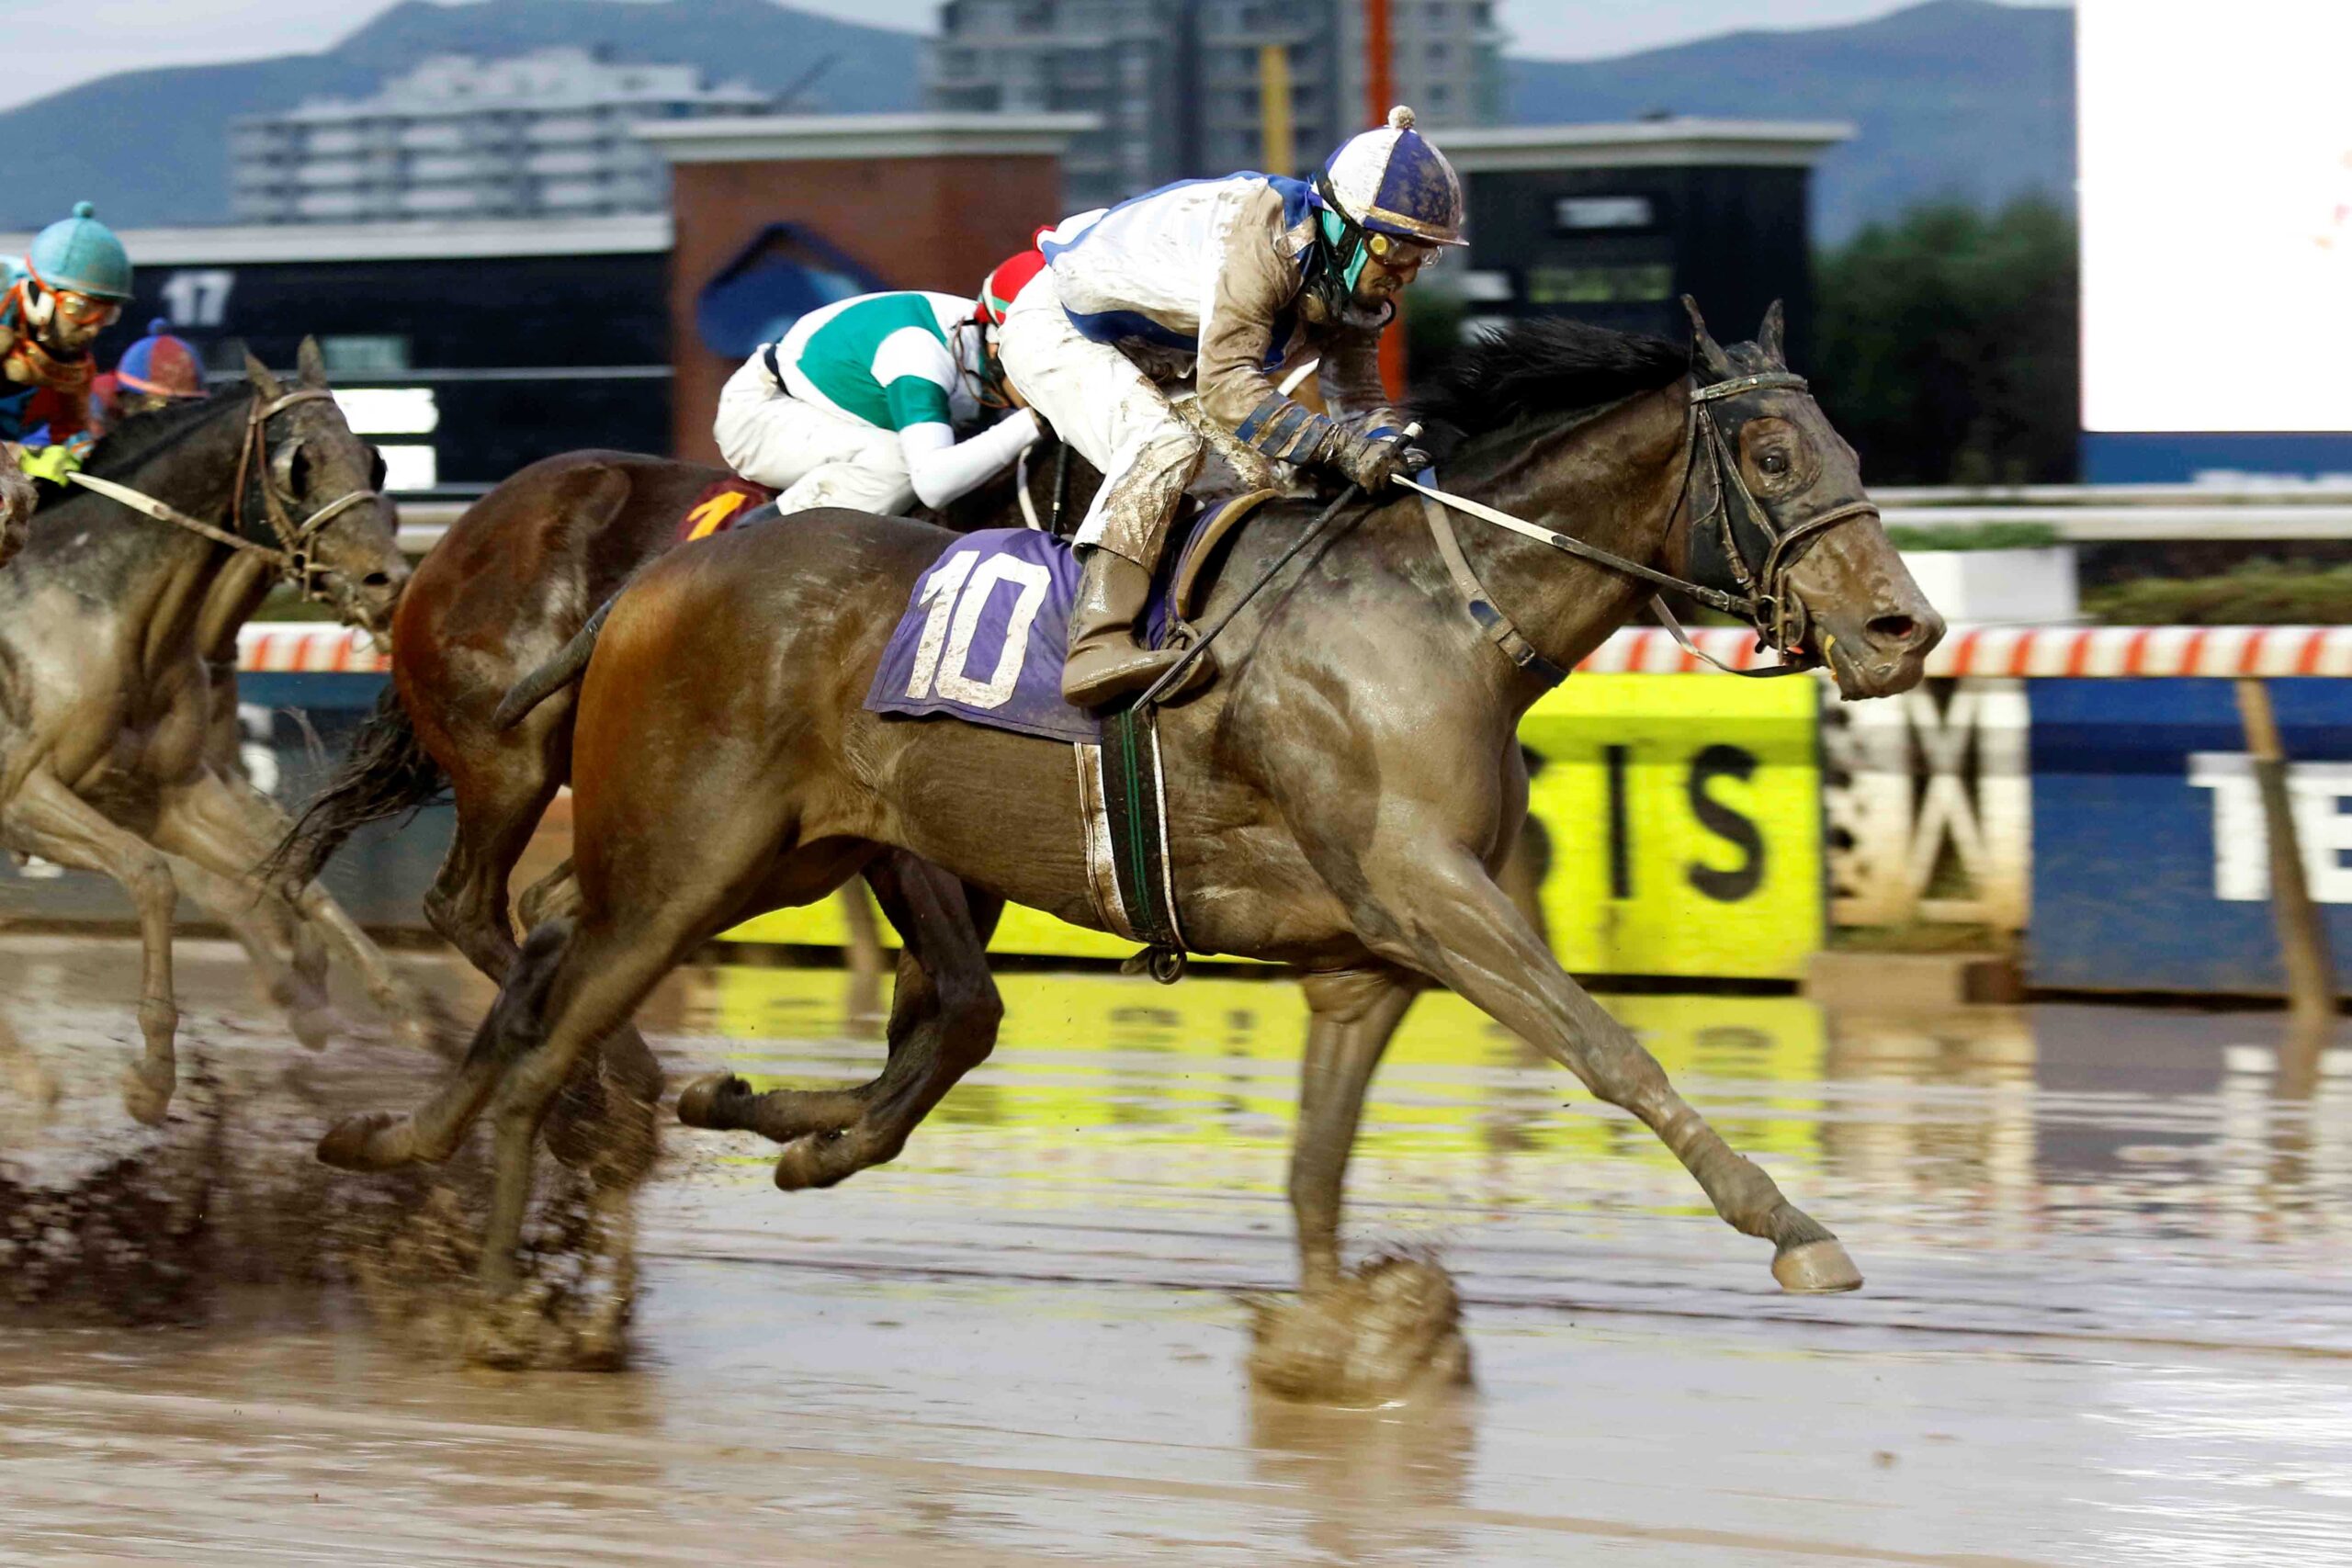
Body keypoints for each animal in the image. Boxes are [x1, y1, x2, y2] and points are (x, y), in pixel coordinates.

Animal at [0, 340, 435, 1123]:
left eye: (374, 459)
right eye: (299, 463)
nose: (389, 583)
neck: (96, 603)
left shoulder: (167, 791)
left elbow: (281, 870)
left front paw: (400, 1005)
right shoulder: (22, 795)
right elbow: (155, 876)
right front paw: (153, 1073)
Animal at [321, 303, 1944, 1363]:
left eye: (1846, 439)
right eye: (1776, 458)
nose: (1902, 627)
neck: (1435, 607)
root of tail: (647, 585)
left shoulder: (1371, 953)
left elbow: (1311, 1164)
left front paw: (1342, 1334)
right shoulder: (1435, 897)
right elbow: (1611, 1047)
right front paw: (1791, 1221)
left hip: (771, 852)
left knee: (541, 957)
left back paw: (416, 1139)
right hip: (680, 863)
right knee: (543, 1020)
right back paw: (509, 1296)